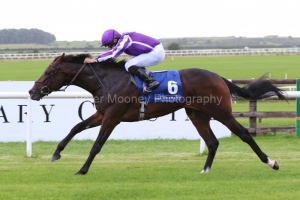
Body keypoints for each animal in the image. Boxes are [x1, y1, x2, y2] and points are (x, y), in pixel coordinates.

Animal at [28, 53, 286, 175]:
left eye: (49, 72)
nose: (32, 91)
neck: (107, 80)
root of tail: (218, 76)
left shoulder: (112, 118)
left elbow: (97, 145)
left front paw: (82, 169)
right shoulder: (102, 115)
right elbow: (76, 127)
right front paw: (56, 154)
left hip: (221, 111)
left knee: (244, 134)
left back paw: (271, 162)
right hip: (197, 114)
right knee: (212, 142)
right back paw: (204, 170)